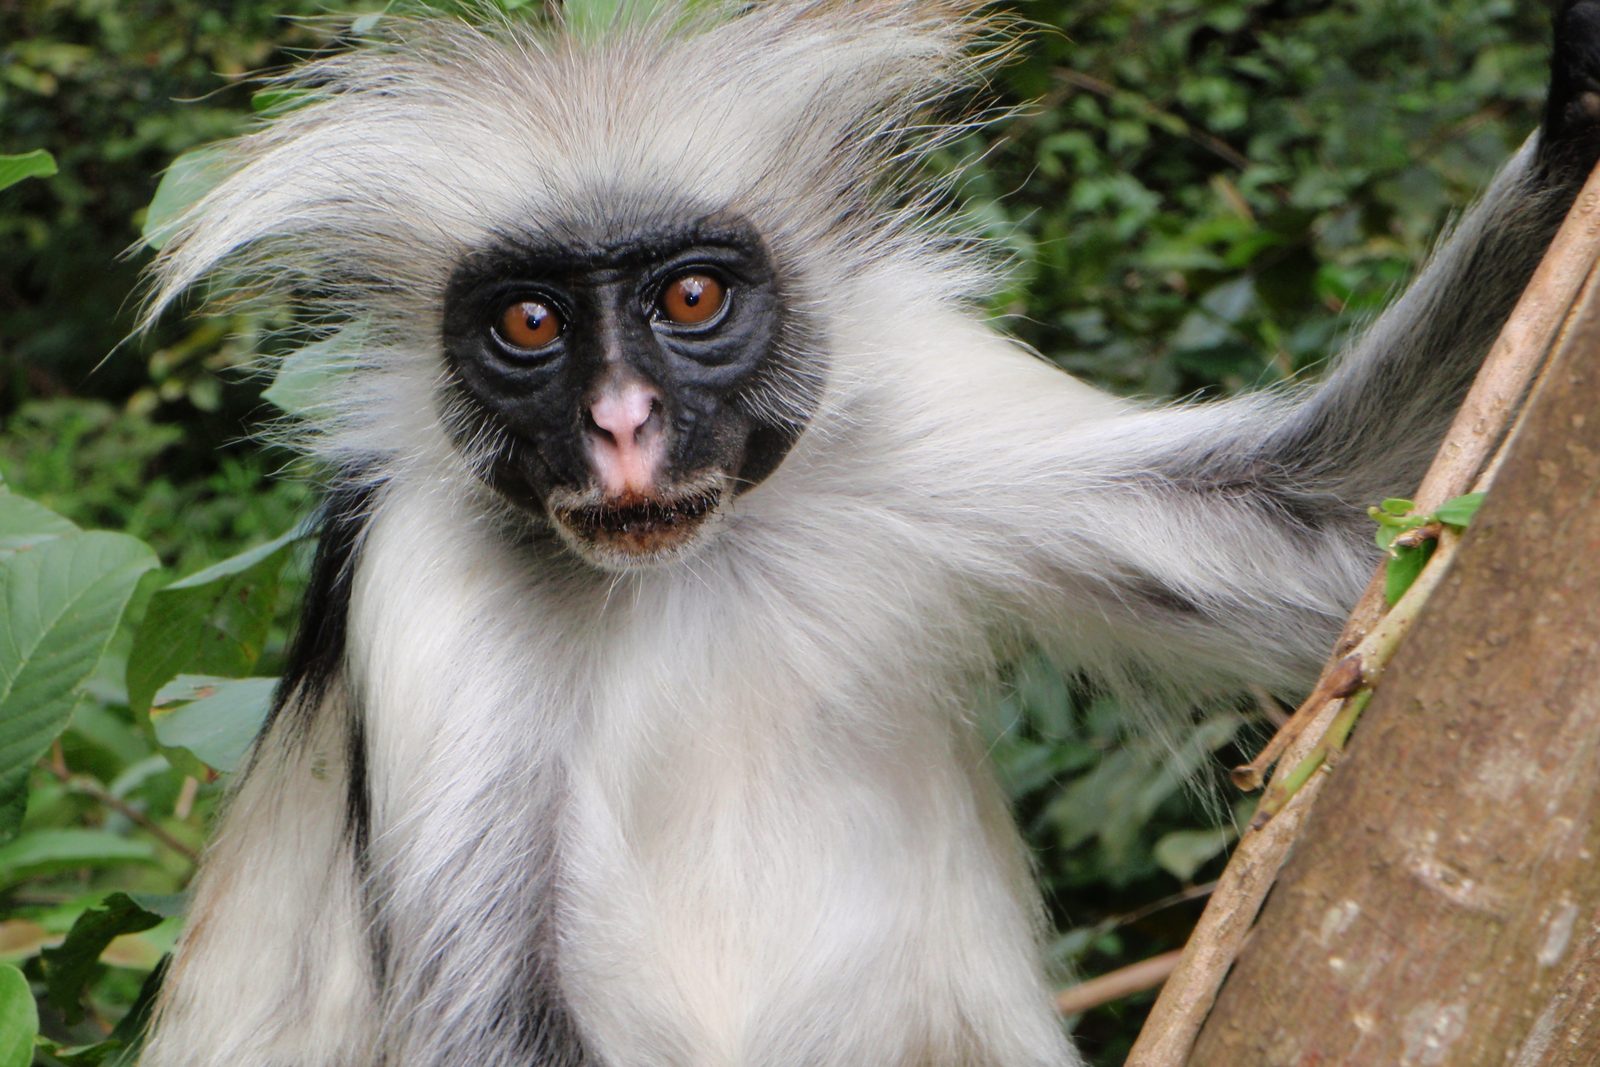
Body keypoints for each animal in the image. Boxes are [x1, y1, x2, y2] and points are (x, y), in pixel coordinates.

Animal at [132, 2, 1600, 1065]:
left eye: (693, 297)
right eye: (531, 324)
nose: (621, 425)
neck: (696, 558)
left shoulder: (908, 404)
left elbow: (1333, 536)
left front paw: (1582, 105)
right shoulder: (428, 562)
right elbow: (491, 1019)